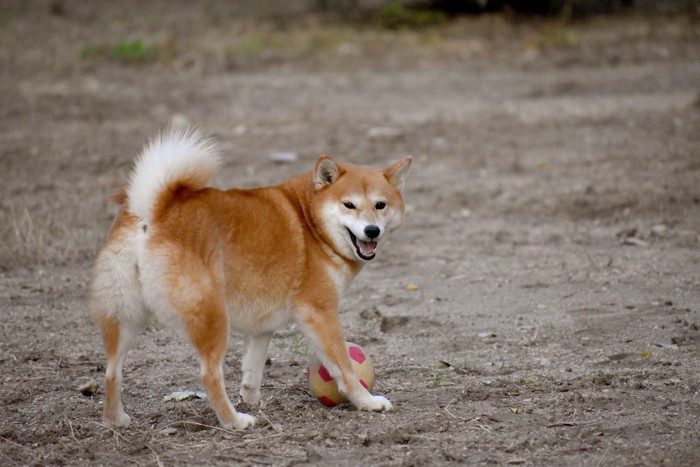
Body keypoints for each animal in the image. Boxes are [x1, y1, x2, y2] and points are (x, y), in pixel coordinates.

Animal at [91, 130, 412, 430]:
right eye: (349, 205)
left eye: (380, 205)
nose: (372, 231)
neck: (309, 221)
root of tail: (155, 210)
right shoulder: (319, 311)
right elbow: (344, 366)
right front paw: (367, 401)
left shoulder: (264, 324)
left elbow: (253, 368)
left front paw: (252, 398)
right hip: (213, 318)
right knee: (209, 374)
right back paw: (234, 421)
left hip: (126, 317)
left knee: (111, 370)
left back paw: (115, 419)